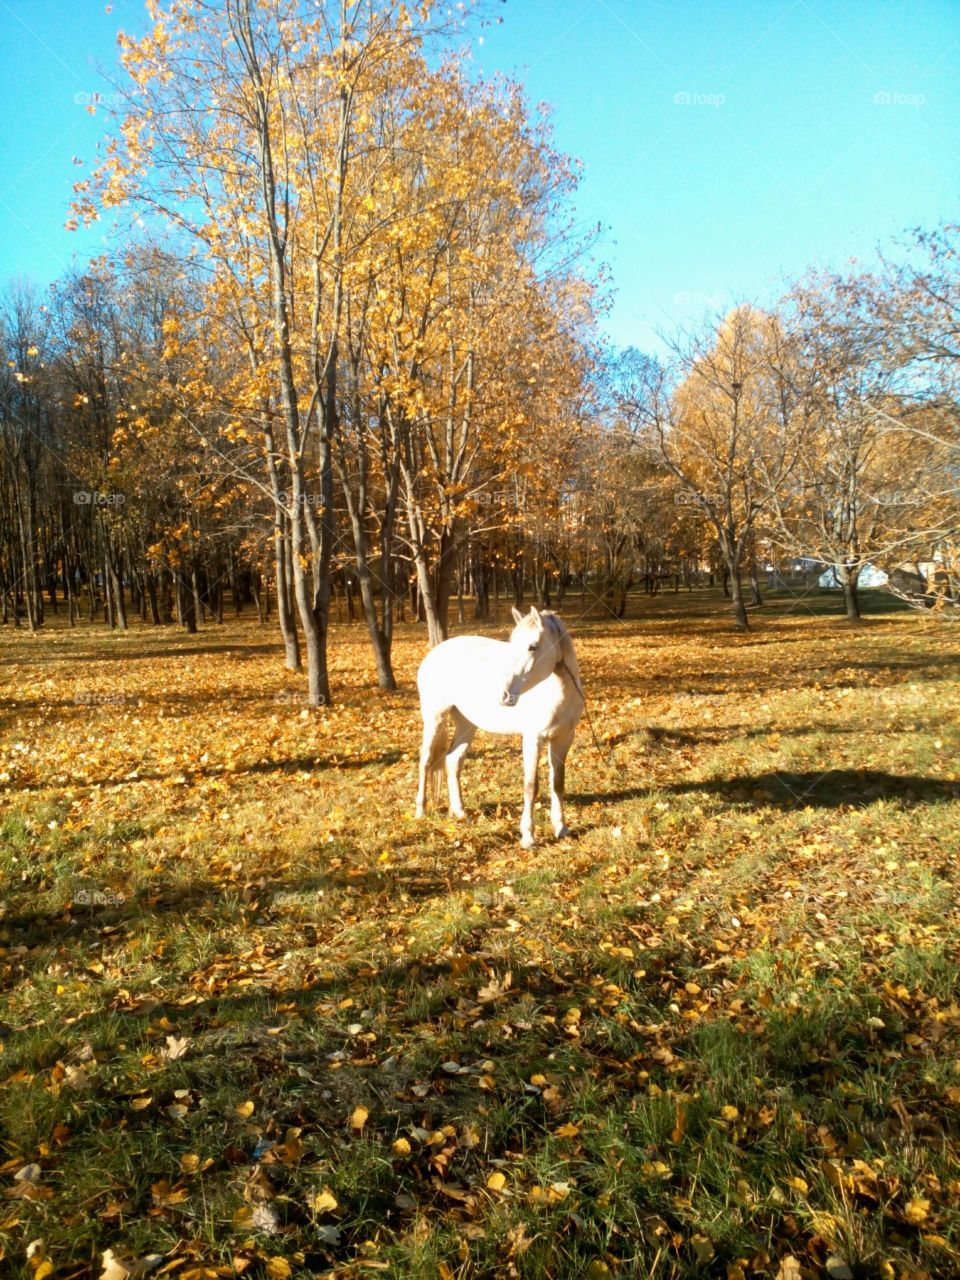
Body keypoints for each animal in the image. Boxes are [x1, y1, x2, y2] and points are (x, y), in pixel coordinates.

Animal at [414, 609, 586, 849]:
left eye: (533, 646)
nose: (504, 695)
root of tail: (432, 654)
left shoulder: (563, 739)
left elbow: (558, 783)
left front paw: (561, 828)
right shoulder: (533, 739)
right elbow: (531, 785)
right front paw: (528, 837)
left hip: (467, 724)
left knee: (453, 760)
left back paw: (460, 813)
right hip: (434, 719)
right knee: (426, 761)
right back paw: (420, 811)